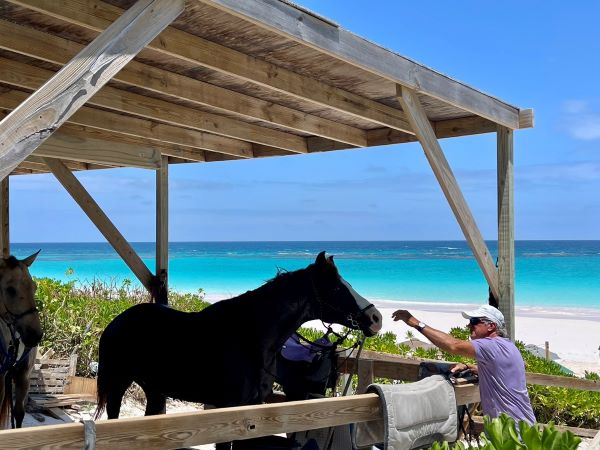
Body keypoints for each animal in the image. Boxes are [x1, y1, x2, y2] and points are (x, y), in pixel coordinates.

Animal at [96, 253, 382, 422]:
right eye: (337, 287)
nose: (375, 318)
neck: (252, 337)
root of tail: (117, 322)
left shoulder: (251, 409)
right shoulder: (228, 408)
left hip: (155, 391)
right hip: (118, 387)